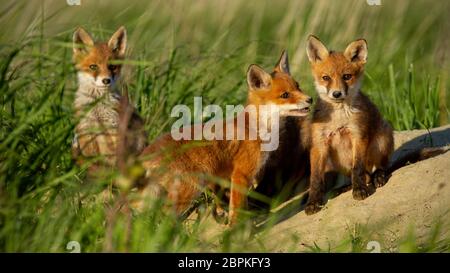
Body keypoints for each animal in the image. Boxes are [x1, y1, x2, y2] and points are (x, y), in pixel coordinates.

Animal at [71, 26, 147, 172]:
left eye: (112, 67)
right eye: (93, 67)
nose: (106, 80)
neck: (97, 107)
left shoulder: (115, 129)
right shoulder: (87, 132)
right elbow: (93, 165)